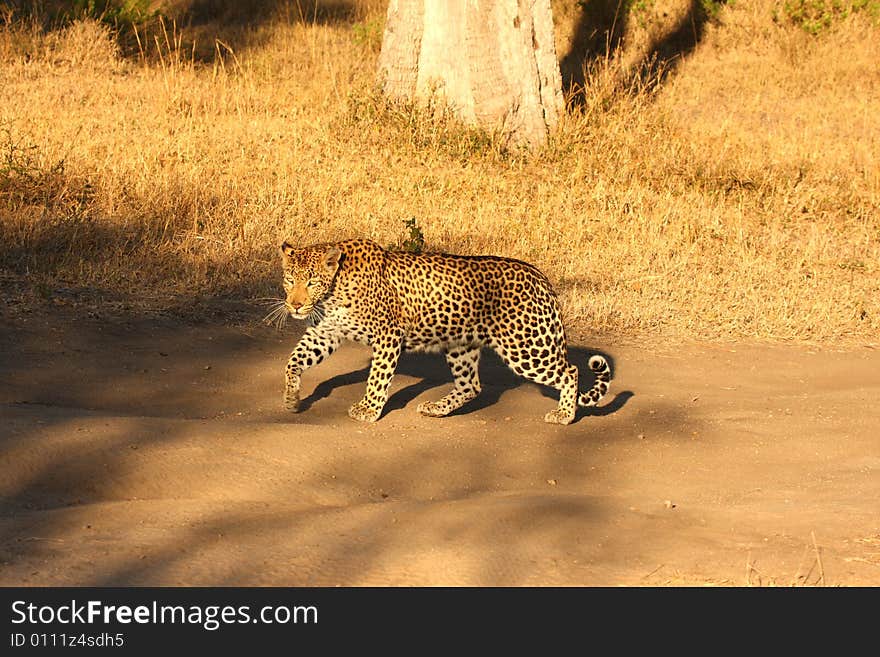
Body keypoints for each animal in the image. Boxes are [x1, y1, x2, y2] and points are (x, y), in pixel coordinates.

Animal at [276, 238, 612, 422]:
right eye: (290, 280)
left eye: (311, 282)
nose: (295, 305)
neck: (333, 290)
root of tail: (541, 278)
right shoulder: (326, 331)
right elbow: (293, 360)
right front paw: (291, 398)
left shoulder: (388, 335)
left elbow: (378, 376)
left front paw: (369, 409)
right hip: (462, 345)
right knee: (471, 386)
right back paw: (437, 408)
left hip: (526, 347)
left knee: (570, 371)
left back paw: (564, 415)